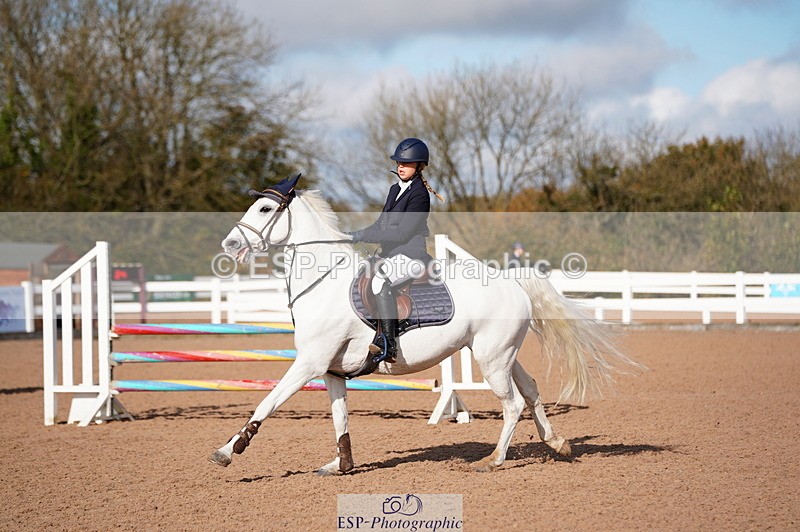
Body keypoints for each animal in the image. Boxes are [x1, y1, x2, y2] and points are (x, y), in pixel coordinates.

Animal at [209, 182, 641, 474]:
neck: (324, 281)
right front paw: (341, 465)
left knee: (513, 404)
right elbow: (339, 417)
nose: (229, 245)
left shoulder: (308, 364)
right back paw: (558, 443)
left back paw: (493, 460)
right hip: (498, 354)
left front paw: (228, 451)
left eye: (265, 208)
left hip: (492, 359)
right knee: (531, 392)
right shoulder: (331, 370)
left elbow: (267, 403)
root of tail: (513, 281)